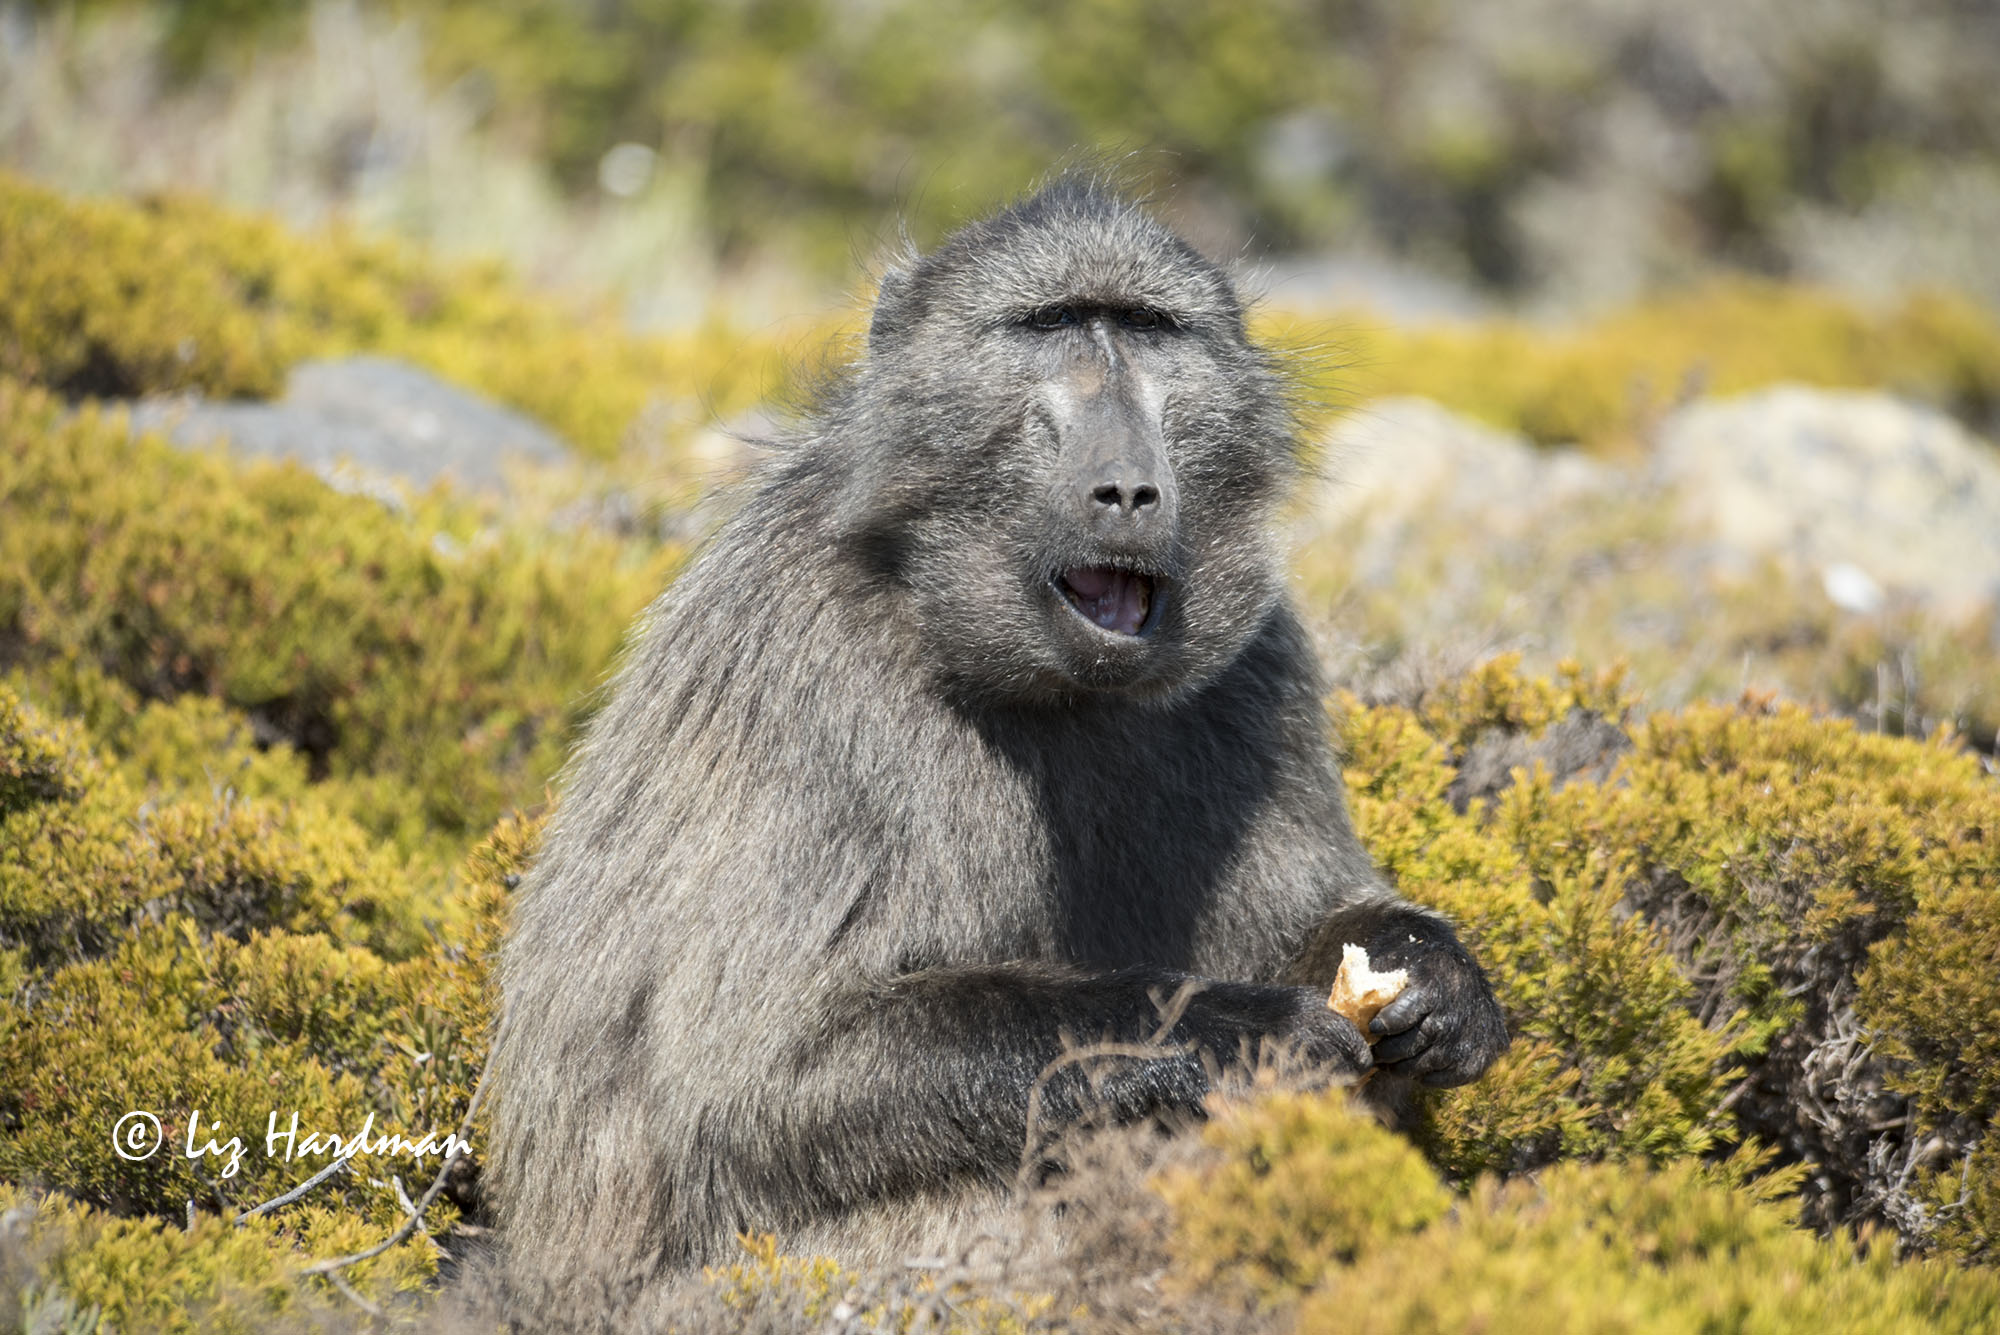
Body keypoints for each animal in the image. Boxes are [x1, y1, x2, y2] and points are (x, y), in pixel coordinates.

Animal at [486, 176, 1509, 1309]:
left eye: (1147, 330)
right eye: (1048, 326)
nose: (1127, 489)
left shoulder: (1263, 665)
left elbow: (1313, 920)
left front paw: (1432, 976)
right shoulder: (816, 672)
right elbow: (761, 1075)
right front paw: (1233, 1032)